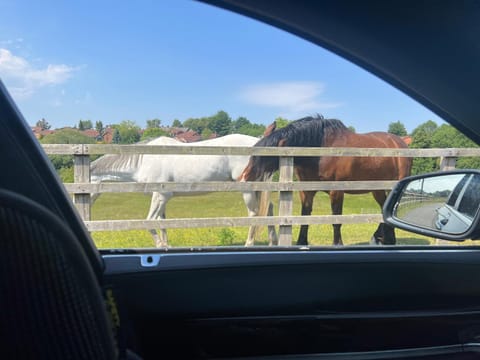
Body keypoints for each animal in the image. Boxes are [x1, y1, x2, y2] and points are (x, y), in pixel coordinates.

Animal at [90, 134, 278, 248]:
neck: (144, 161)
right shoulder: (161, 198)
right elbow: (162, 223)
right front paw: (166, 245)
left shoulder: (160, 196)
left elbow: (149, 221)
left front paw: (160, 245)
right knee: (268, 209)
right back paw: (272, 242)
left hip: (247, 187)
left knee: (254, 213)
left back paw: (249, 244)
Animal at [238, 116, 410, 246]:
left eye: (265, 154)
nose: (244, 176)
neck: (319, 152)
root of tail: (400, 142)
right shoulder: (307, 191)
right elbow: (305, 217)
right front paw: (301, 242)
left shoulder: (336, 191)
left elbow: (336, 220)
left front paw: (337, 244)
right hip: (378, 189)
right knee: (385, 209)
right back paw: (384, 238)